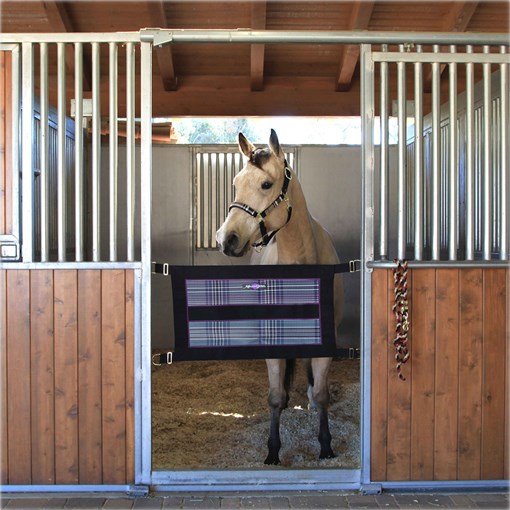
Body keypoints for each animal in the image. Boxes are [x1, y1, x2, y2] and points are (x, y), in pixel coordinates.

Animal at [215, 129, 342, 464]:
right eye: (236, 183)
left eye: (266, 184)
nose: (226, 239)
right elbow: (273, 396)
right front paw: (273, 449)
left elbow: (322, 392)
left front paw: (326, 444)